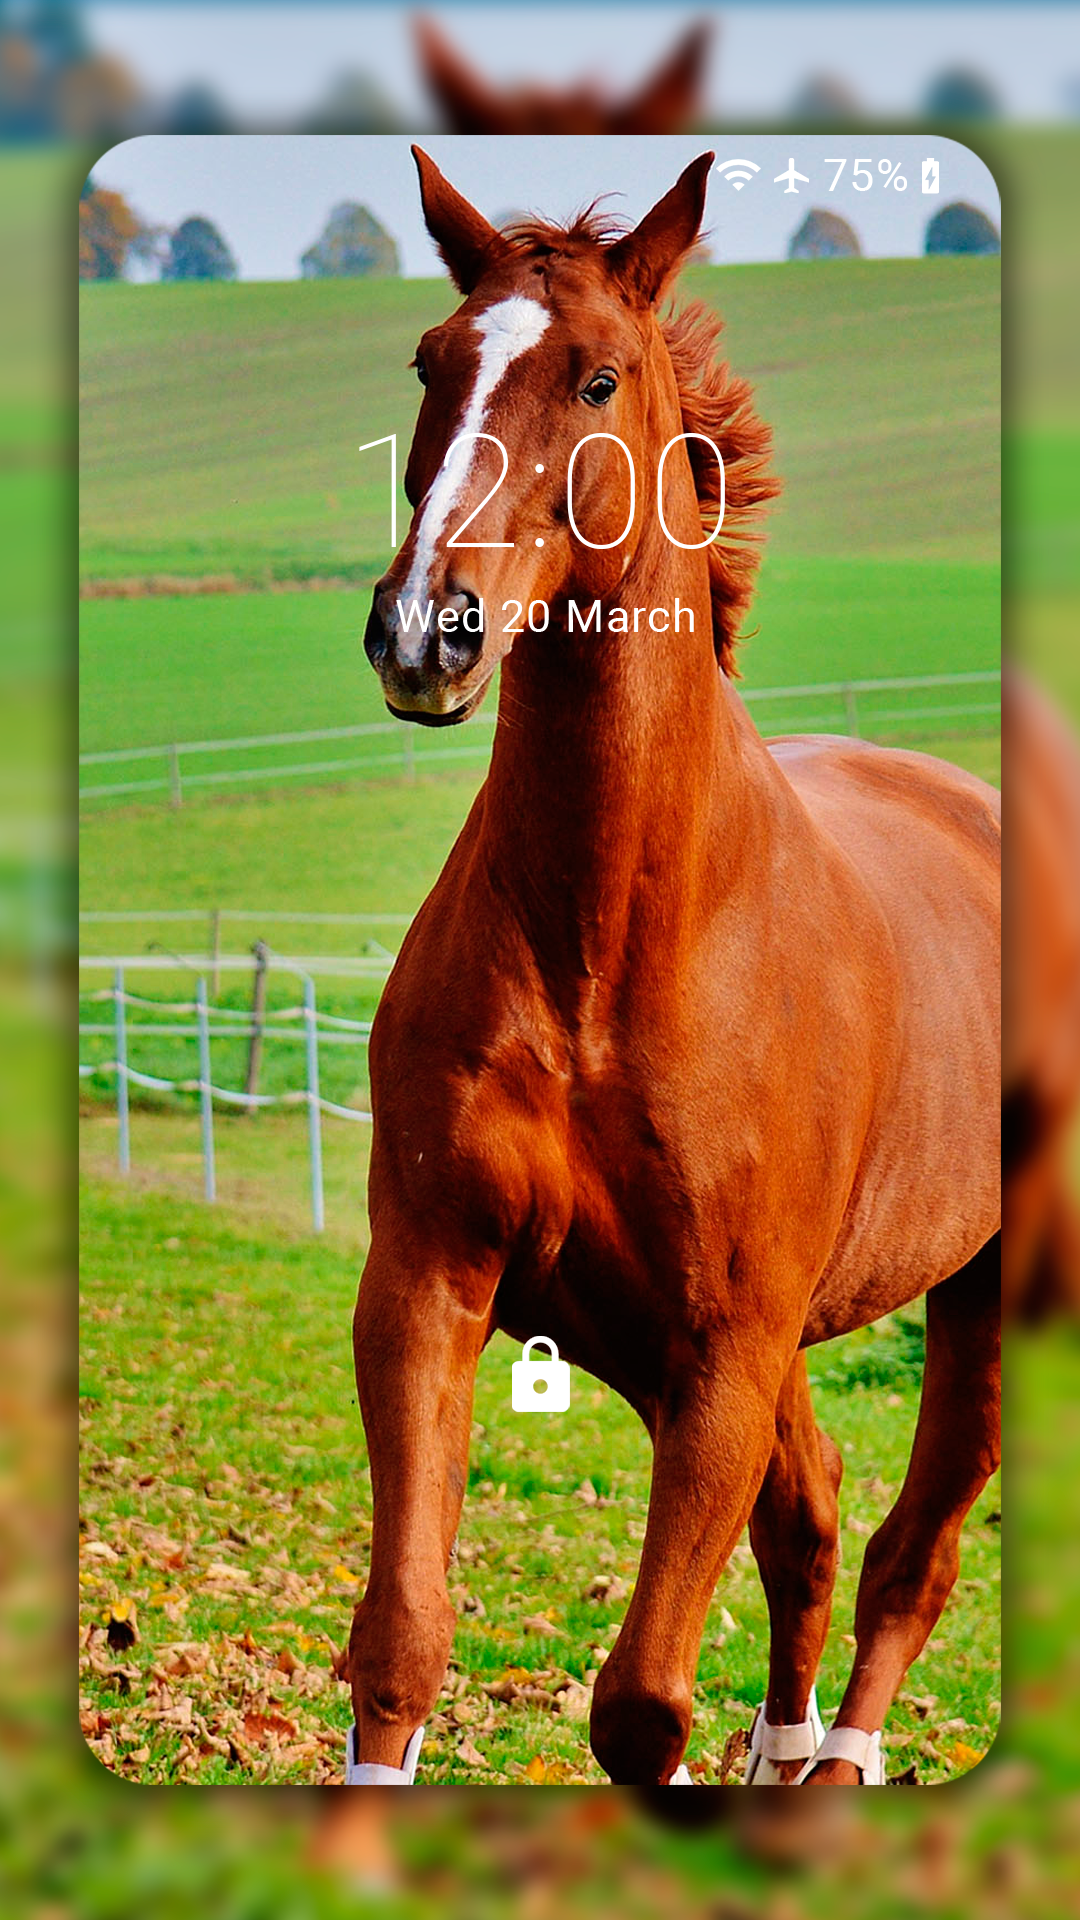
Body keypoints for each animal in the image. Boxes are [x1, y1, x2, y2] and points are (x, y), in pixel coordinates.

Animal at [344, 147, 1001, 1787]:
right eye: (433, 365)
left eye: (596, 376)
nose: (425, 632)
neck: (613, 944)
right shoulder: (436, 1285)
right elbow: (403, 1637)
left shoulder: (725, 1349)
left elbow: (641, 1701)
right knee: (813, 1520)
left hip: (985, 1294)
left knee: (910, 1552)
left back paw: (837, 1764)